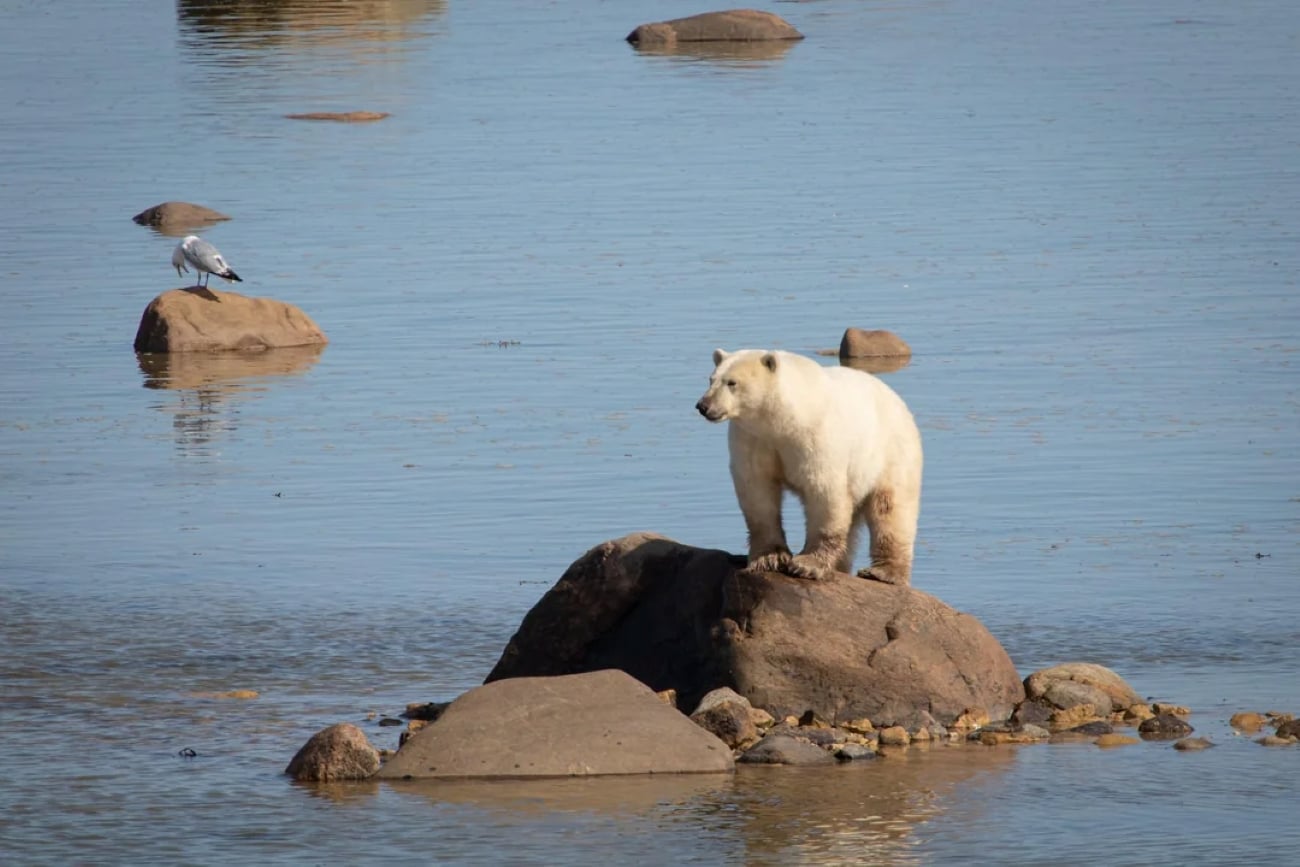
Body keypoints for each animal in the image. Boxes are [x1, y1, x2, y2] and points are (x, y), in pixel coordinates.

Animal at [695, 348, 923, 585]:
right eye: (711, 380)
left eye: (732, 382)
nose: (703, 406)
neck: (783, 419)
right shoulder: (753, 439)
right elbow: (757, 490)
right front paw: (769, 558)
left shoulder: (815, 436)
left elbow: (823, 492)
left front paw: (807, 564)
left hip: (891, 452)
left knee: (890, 508)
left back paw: (883, 572)